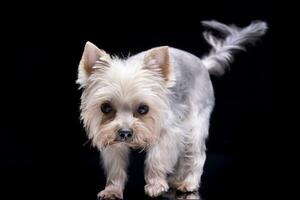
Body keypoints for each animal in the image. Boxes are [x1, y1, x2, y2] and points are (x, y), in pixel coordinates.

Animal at [77, 19, 268, 198]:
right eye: (105, 108)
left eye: (144, 109)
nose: (125, 133)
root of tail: (203, 64)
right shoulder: (110, 138)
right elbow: (116, 166)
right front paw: (112, 190)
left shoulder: (168, 132)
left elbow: (156, 158)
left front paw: (155, 185)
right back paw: (176, 180)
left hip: (196, 124)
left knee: (197, 154)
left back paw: (189, 183)